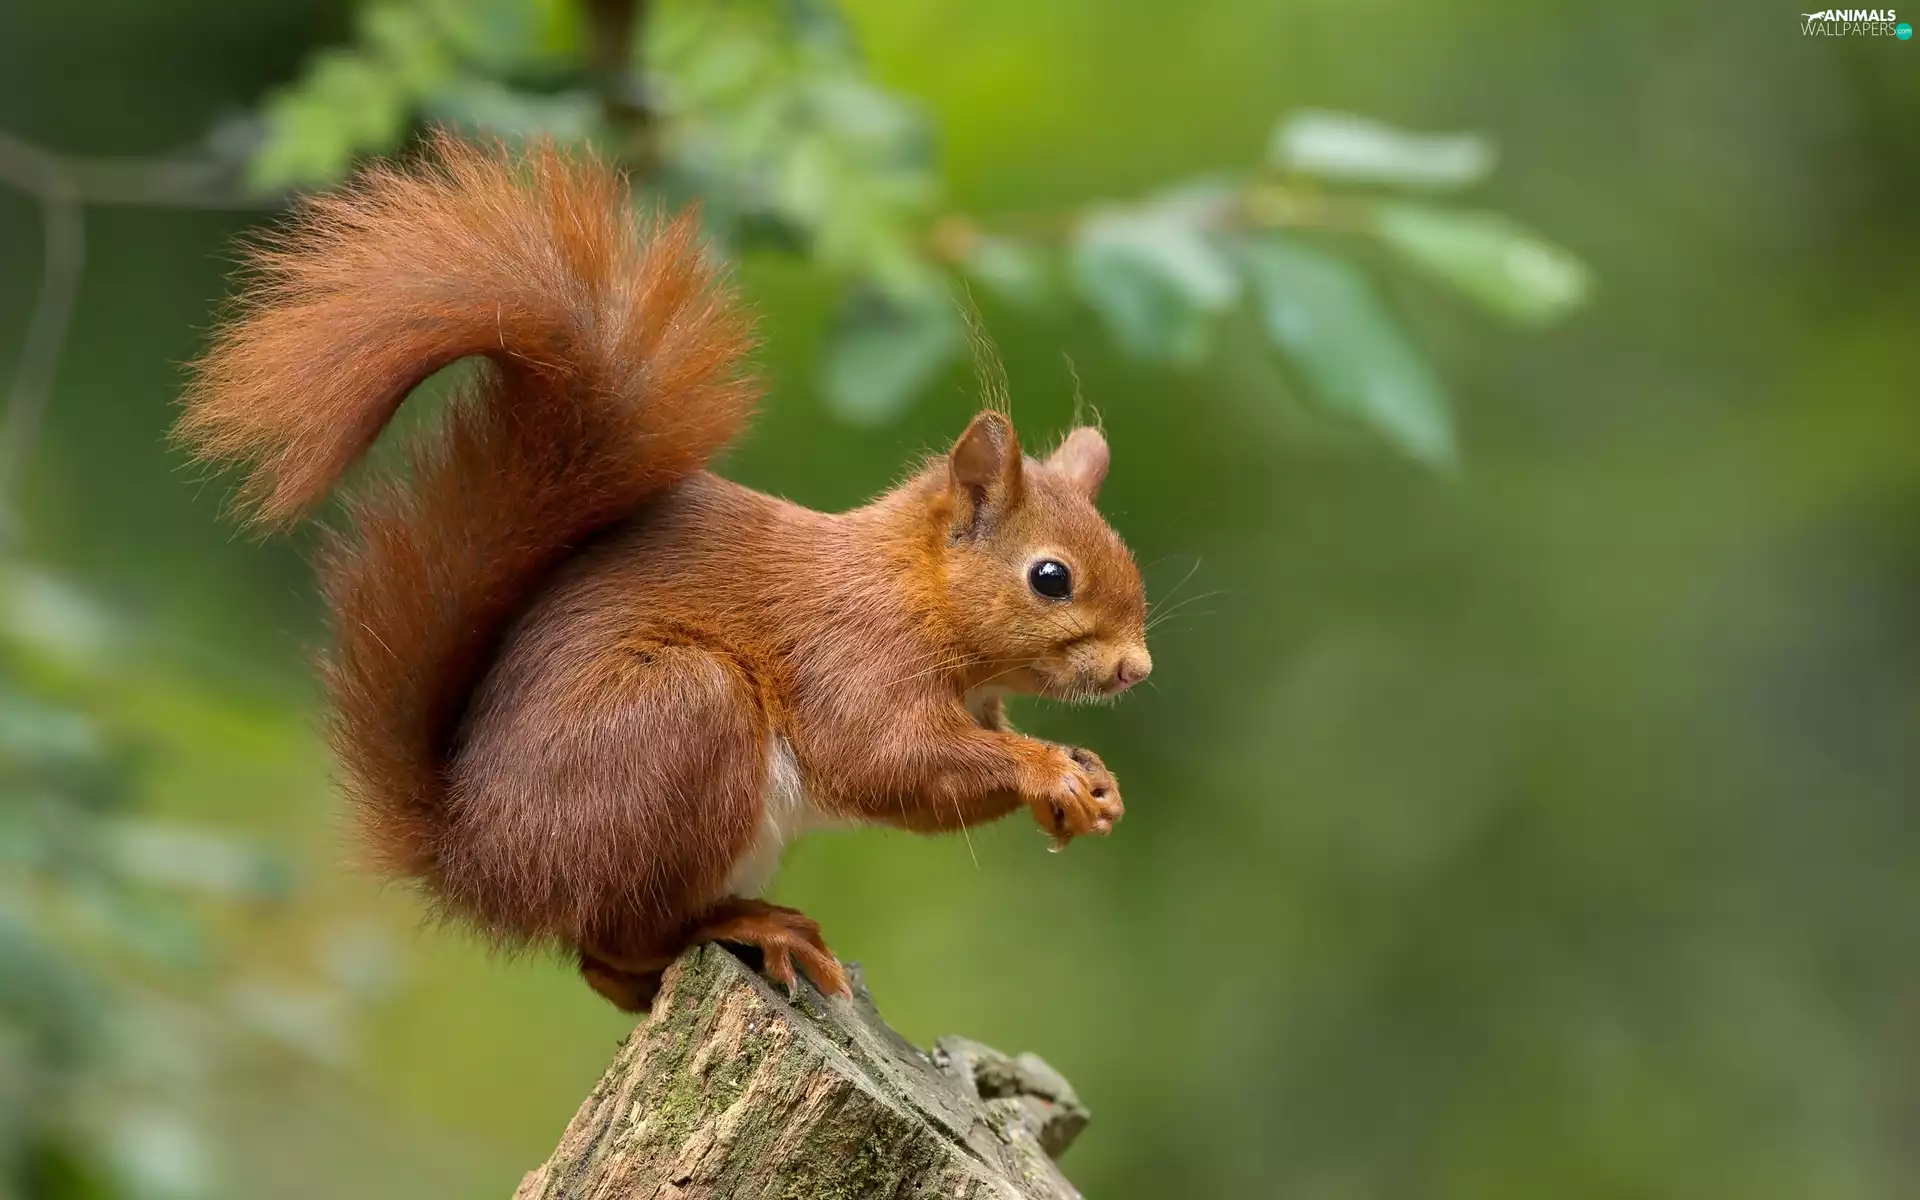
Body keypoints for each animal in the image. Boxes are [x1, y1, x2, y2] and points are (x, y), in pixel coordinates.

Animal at [174, 136, 1151, 1012]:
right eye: (1051, 577)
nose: (1136, 669)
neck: (916, 593)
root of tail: (478, 865)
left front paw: (1090, 781)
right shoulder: (853, 655)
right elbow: (885, 760)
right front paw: (1047, 771)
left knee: (603, 969)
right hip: (680, 720)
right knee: (619, 936)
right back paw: (747, 926)